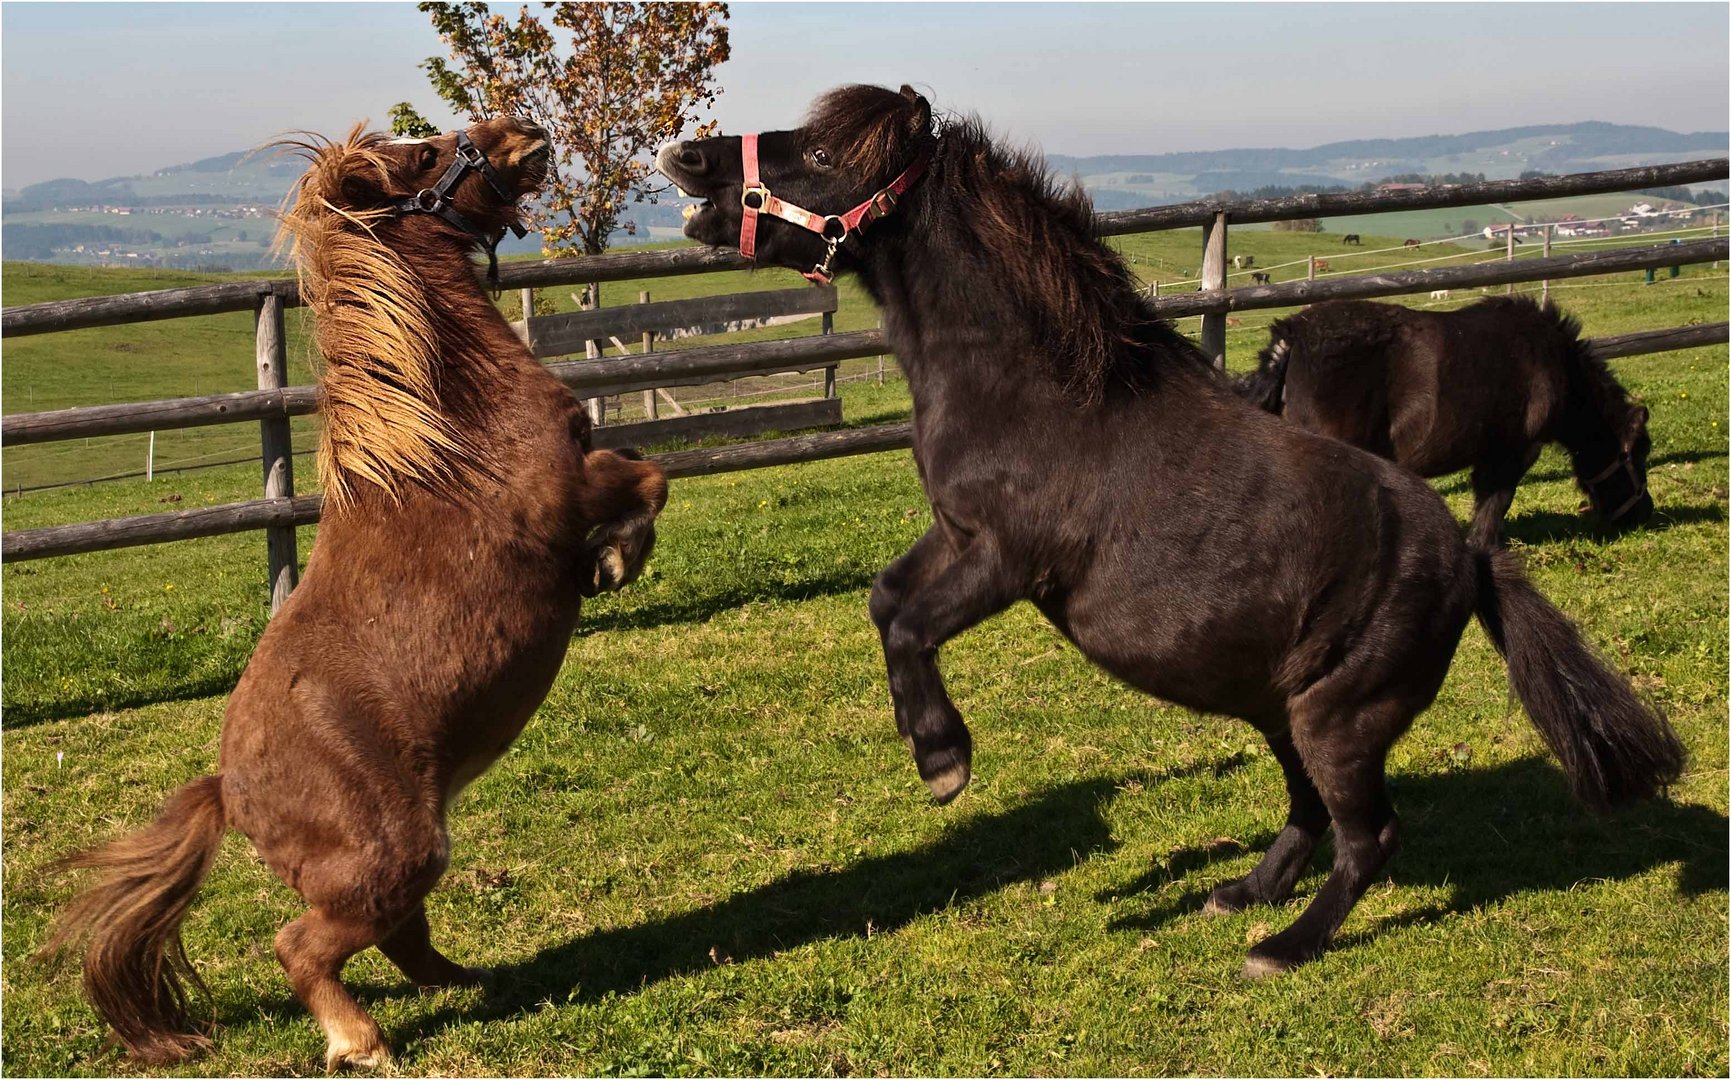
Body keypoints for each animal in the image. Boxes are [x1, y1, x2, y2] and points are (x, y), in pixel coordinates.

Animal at [40, 115, 664, 1066]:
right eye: (424, 153)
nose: (521, 131)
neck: (452, 434)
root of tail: (230, 793)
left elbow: (645, 467)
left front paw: (612, 562)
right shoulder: (570, 491)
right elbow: (650, 476)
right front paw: (615, 562)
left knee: (402, 938)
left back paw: (472, 982)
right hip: (391, 857)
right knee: (306, 944)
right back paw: (361, 1041)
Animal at [1239, 297, 1654, 543]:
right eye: (1638, 454)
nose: (1645, 513)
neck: (1561, 368)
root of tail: (1292, 337)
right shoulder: (1514, 451)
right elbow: (1494, 505)